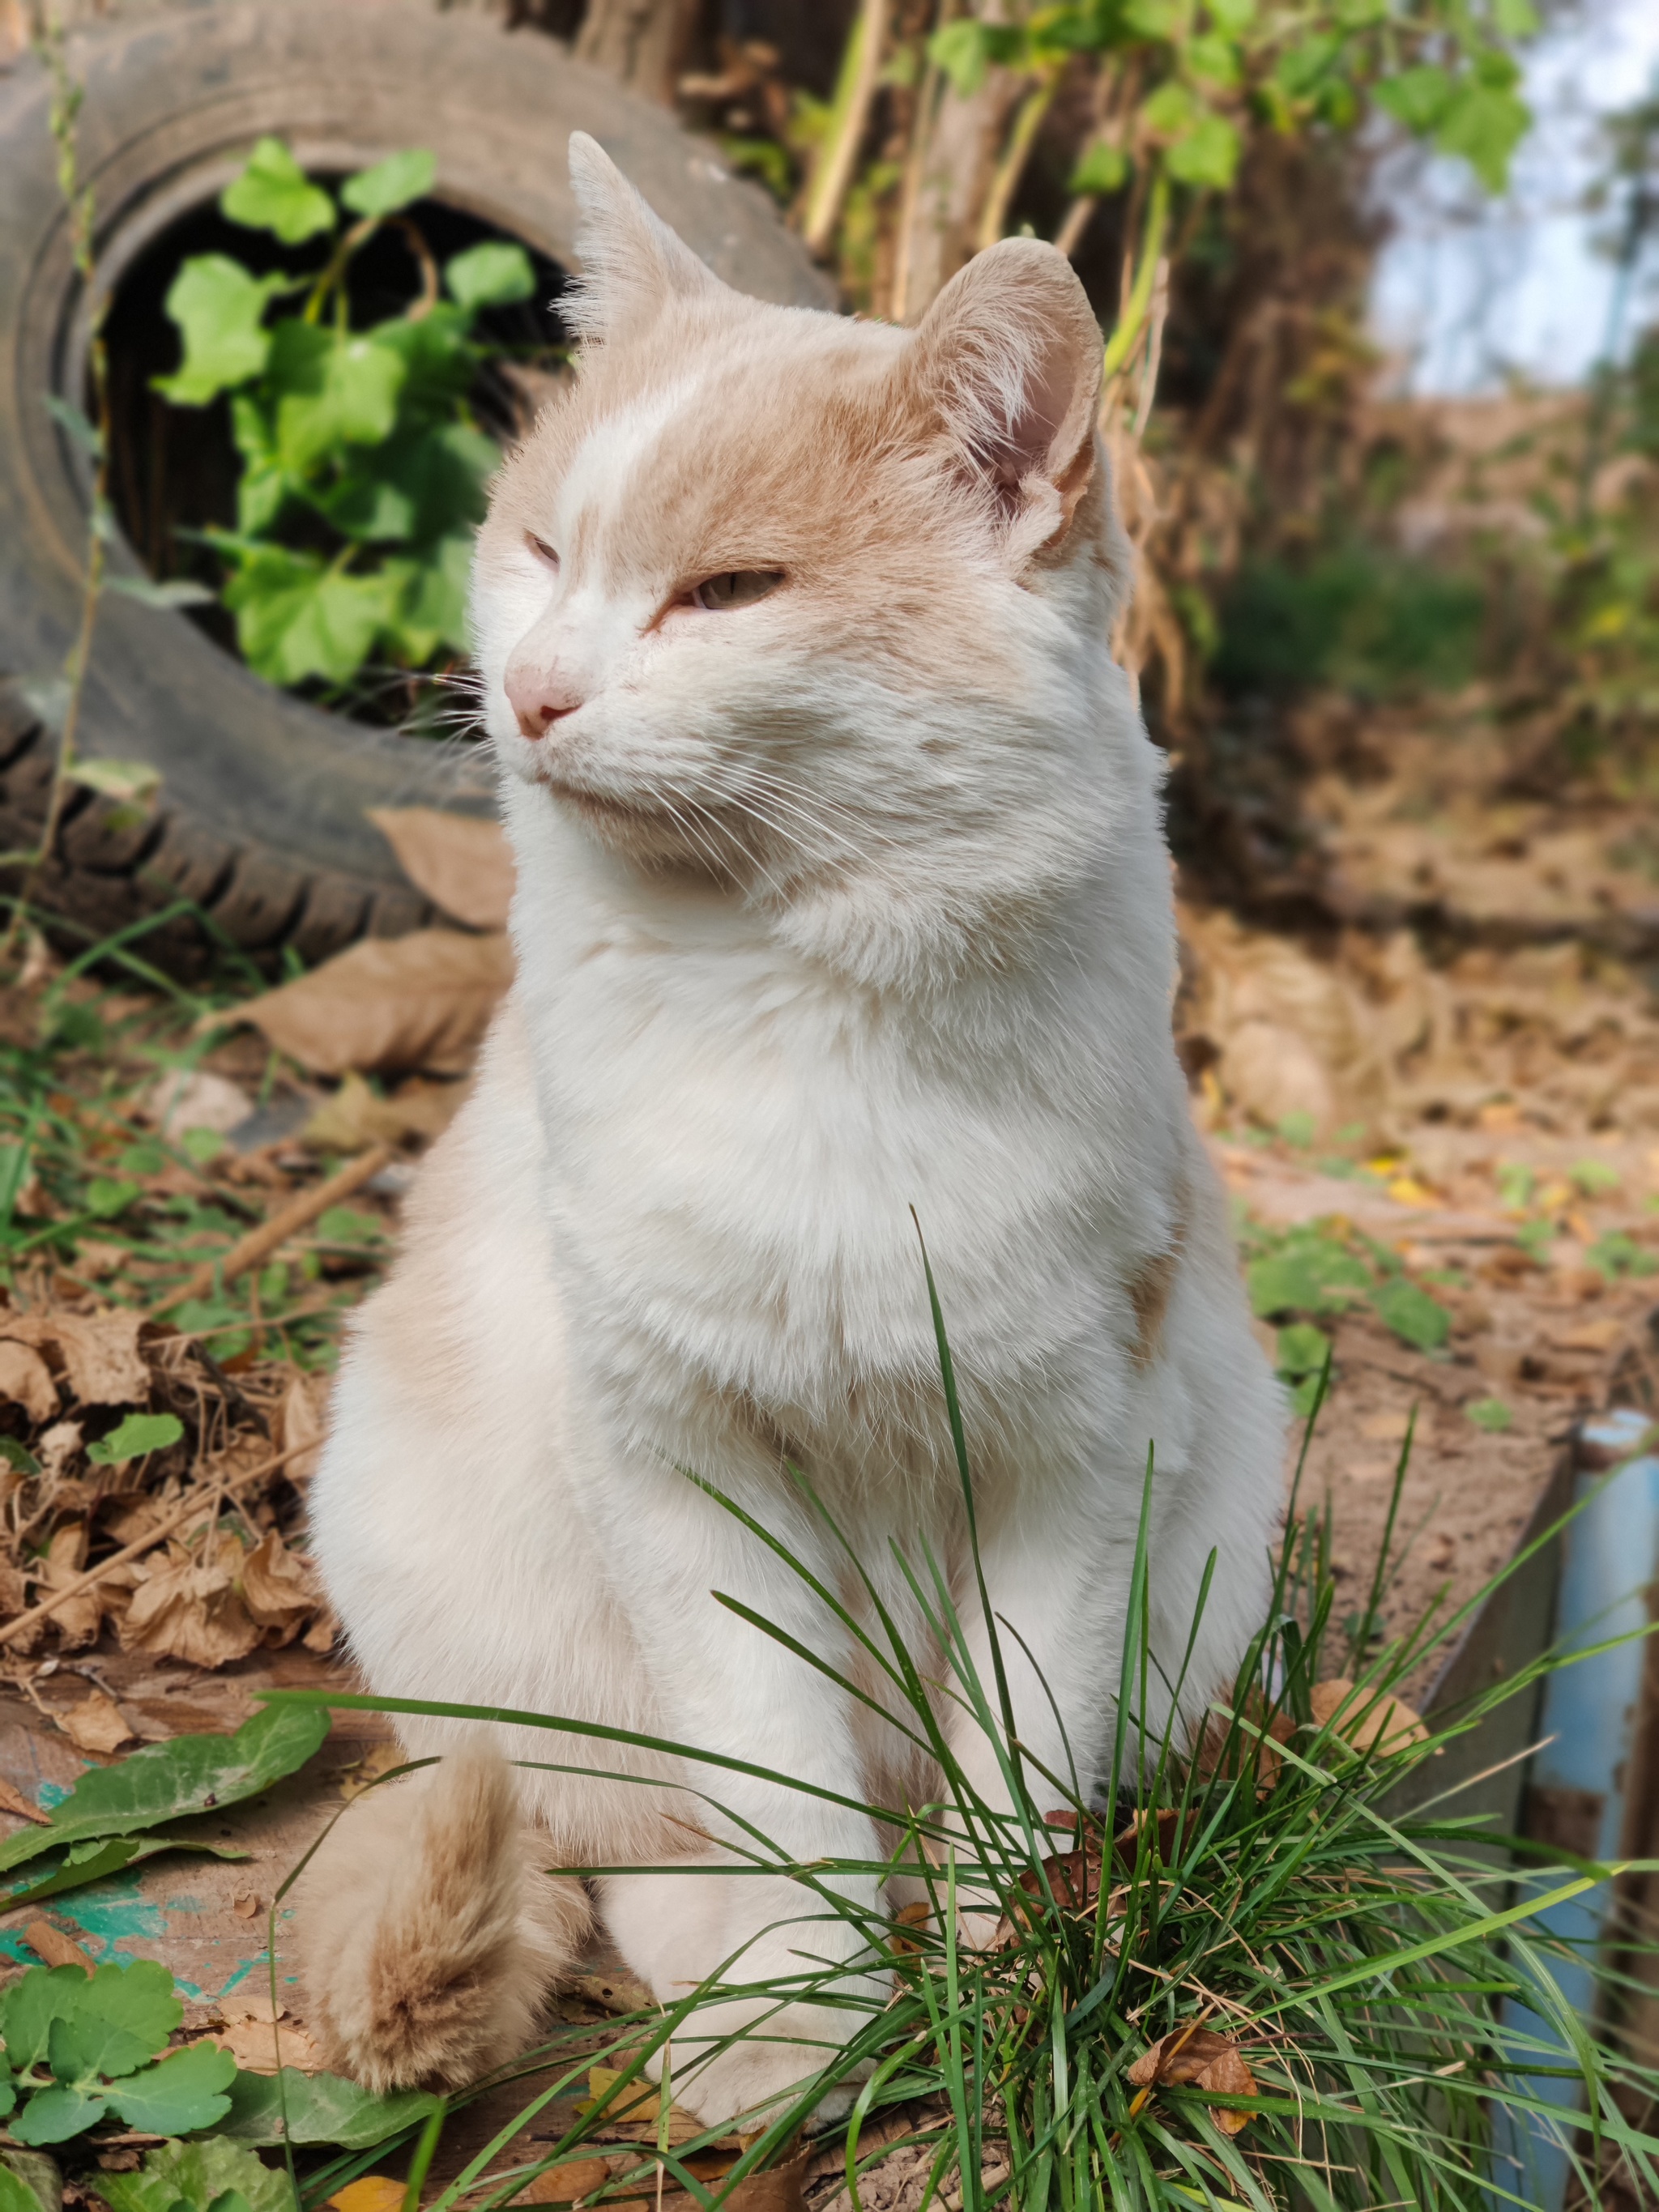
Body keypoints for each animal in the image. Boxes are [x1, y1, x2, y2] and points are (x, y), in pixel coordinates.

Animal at [296, 134, 1282, 2123]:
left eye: (729, 591)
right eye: (540, 552)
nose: (532, 693)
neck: (797, 985)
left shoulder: (1074, 1461)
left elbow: (1018, 1757)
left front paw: (1009, 1988)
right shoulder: (677, 1458)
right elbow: (768, 1769)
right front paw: (803, 2005)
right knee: (624, 1838)